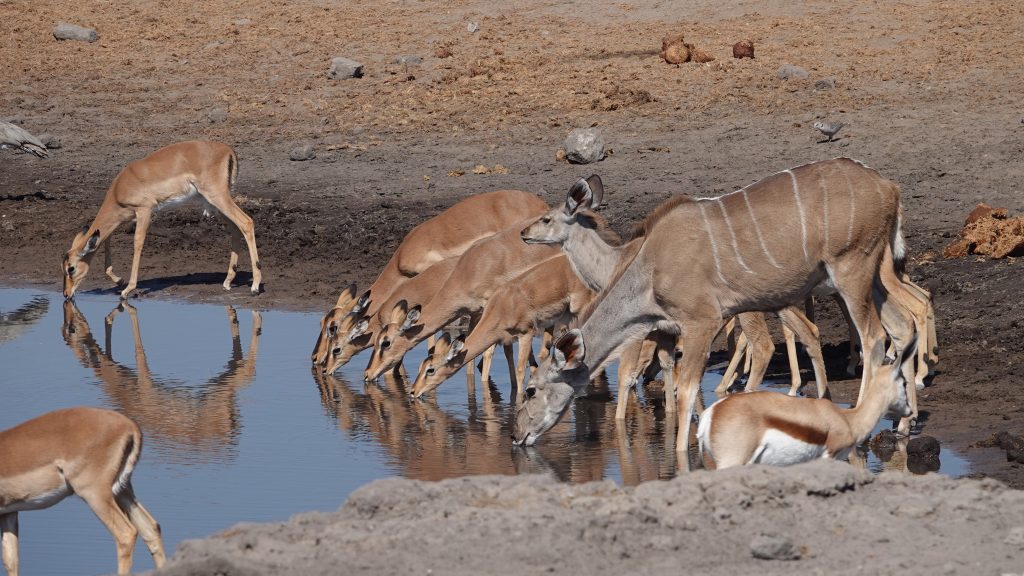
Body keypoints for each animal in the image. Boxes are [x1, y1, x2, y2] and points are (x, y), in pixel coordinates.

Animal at [0, 407, 166, 575]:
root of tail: (130, 426)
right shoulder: (9, 513)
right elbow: (11, 560)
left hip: (95, 495)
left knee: (126, 533)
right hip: (122, 490)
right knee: (151, 528)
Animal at [62, 141, 261, 300]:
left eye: (71, 268)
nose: (66, 294)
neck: (119, 189)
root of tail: (227, 150)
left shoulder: (144, 210)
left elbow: (137, 243)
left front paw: (127, 290)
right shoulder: (122, 218)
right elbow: (106, 240)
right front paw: (119, 280)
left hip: (217, 197)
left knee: (246, 222)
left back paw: (255, 287)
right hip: (213, 202)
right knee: (235, 228)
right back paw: (227, 281)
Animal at [410, 255, 597, 398]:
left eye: (431, 369)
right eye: (420, 367)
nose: (413, 392)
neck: (502, 306)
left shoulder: (526, 333)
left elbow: (520, 370)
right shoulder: (507, 340)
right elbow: (511, 370)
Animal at [697, 338, 916, 468]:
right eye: (904, 382)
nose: (910, 411)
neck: (847, 419)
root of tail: (711, 414)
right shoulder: (829, 457)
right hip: (732, 461)